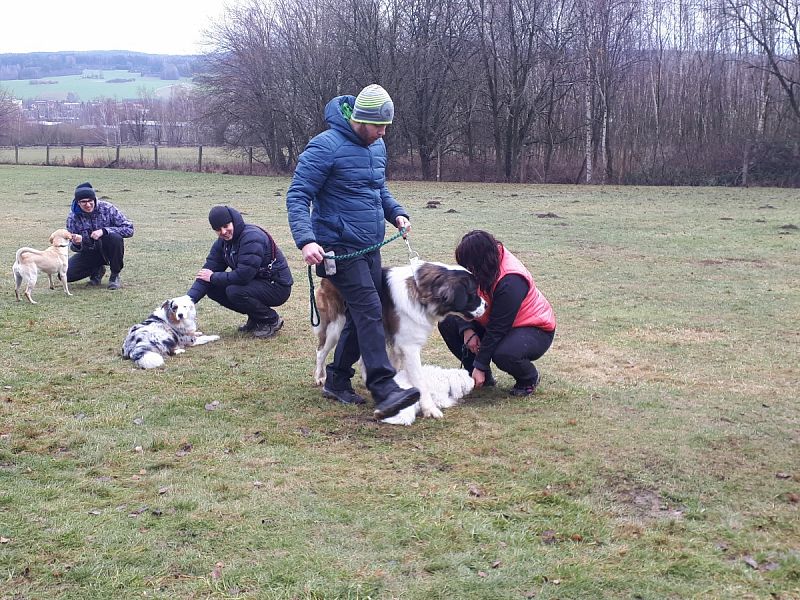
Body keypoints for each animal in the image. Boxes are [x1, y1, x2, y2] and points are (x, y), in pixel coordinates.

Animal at [312, 260, 488, 420]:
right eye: (473, 293)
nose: (486, 305)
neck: (421, 294)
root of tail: (326, 277)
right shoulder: (409, 348)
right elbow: (420, 381)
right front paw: (429, 408)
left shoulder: (397, 346)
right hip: (336, 326)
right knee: (320, 351)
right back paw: (320, 378)